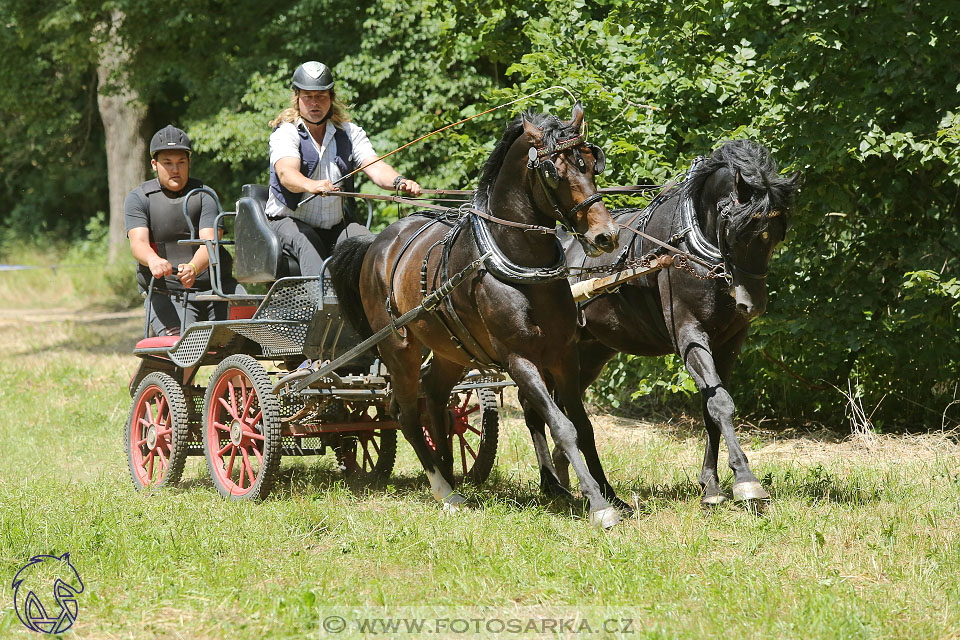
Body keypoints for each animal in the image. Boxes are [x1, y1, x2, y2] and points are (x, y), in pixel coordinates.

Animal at [334, 104, 628, 524]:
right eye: (553, 171)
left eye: (590, 163)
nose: (605, 235)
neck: (521, 263)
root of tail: (377, 242)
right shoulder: (518, 359)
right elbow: (562, 426)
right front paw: (598, 506)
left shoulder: (563, 355)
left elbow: (583, 426)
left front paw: (609, 495)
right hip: (398, 349)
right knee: (405, 413)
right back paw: (443, 489)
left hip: (449, 350)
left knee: (435, 398)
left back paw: (448, 471)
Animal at [540, 139, 804, 504]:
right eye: (738, 233)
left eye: (777, 235)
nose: (751, 305)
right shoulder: (688, 332)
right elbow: (720, 403)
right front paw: (745, 479)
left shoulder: (729, 342)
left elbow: (712, 407)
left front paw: (711, 485)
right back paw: (552, 484)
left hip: (589, 352)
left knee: (567, 403)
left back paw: (566, 477)